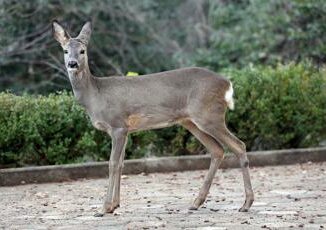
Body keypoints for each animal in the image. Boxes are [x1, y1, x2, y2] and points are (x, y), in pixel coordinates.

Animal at [52, 20, 253, 217]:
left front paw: (104, 208)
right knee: (217, 150)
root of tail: (227, 84)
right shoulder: (126, 130)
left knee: (239, 145)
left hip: (209, 115)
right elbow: (122, 164)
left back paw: (246, 204)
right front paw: (115, 205)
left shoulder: (118, 125)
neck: (95, 95)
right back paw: (196, 203)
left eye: (82, 51)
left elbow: (112, 164)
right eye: (65, 50)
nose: (72, 64)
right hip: (192, 121)